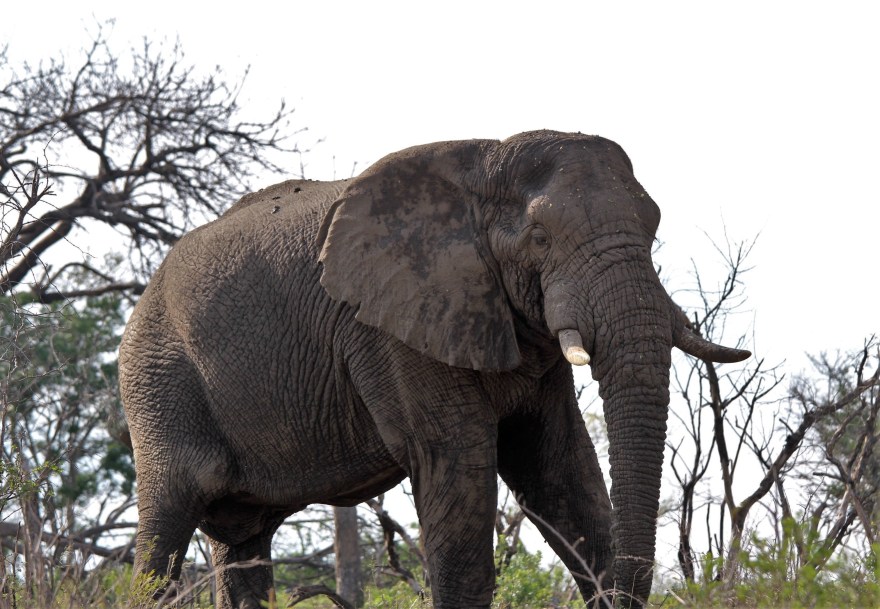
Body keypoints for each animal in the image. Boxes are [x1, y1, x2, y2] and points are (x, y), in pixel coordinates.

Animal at [118, 130, 749, 608]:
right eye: (540, 237)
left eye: (654, 224)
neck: (486, 166)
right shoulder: (391, 329)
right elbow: (457, 462)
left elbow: (559, 469)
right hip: (157, 378)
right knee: (166, 526)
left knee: (244, 543)